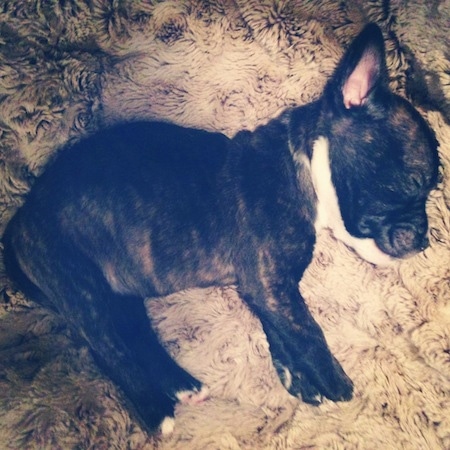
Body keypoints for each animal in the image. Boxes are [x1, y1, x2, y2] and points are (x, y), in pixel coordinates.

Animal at [2, 23, 440, 432]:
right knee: (109, 349)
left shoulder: (263, 286)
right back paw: (156, 411)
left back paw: (182, 385)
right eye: (414, 183)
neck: (300, 162)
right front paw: (335, 383)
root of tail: (22, 218)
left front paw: (298, 378)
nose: (423, 238)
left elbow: (282, 329)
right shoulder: (271, 282)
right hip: (82, 286)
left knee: (135, 334)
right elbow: (306, 330)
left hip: (118, 290)